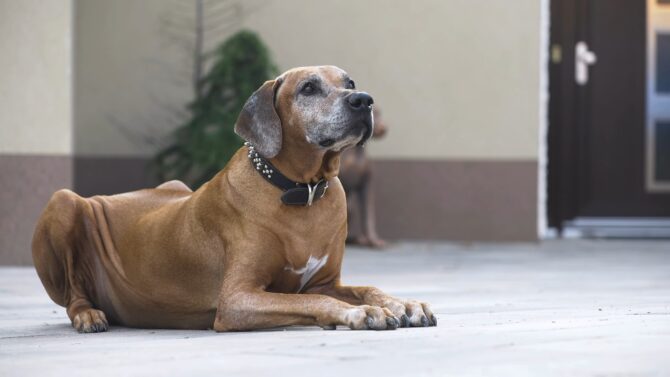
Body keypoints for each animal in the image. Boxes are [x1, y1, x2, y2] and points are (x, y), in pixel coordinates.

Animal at [342, 108, 388, 247]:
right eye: (375, 113)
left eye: (380, 113)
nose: (384, 127)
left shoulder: (366, 184)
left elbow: (368, 214)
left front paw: (373, 240)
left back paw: (358, 239)